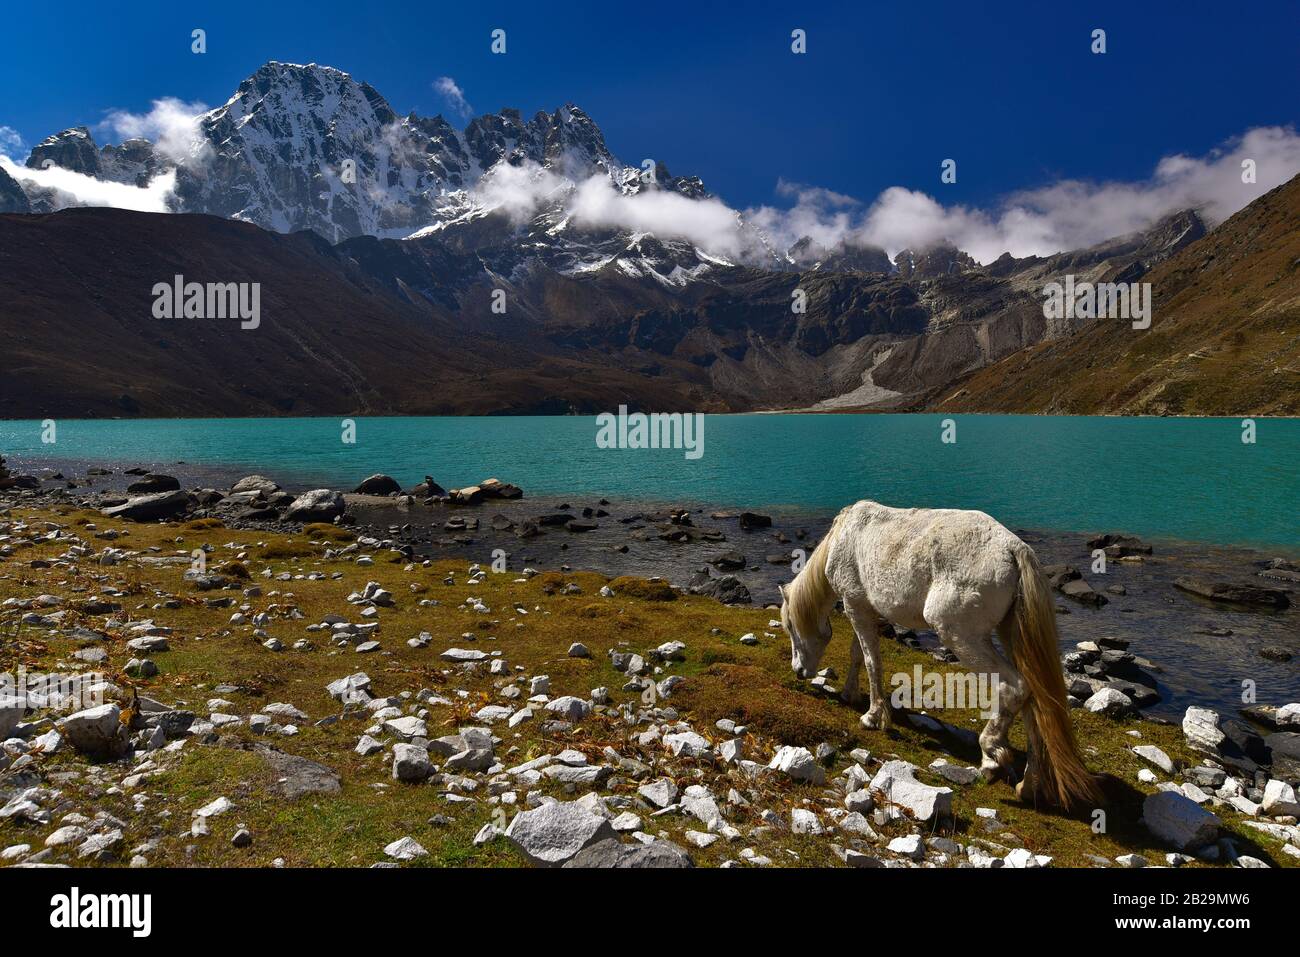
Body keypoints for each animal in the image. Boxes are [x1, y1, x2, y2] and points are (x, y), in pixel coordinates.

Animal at [778, 499, 1101, 810]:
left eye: (791, 626)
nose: (799, 670)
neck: (844, 537)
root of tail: (1013, 548)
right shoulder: (867, 611)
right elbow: (859, 654)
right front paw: (850, 695)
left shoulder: (855, 606)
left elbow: (871, 660)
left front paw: (872, 716)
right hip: (1010, 634)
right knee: (1033, 699)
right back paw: (1030, 785)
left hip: (960, 636)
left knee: (1014, 687)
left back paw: (991, 758)